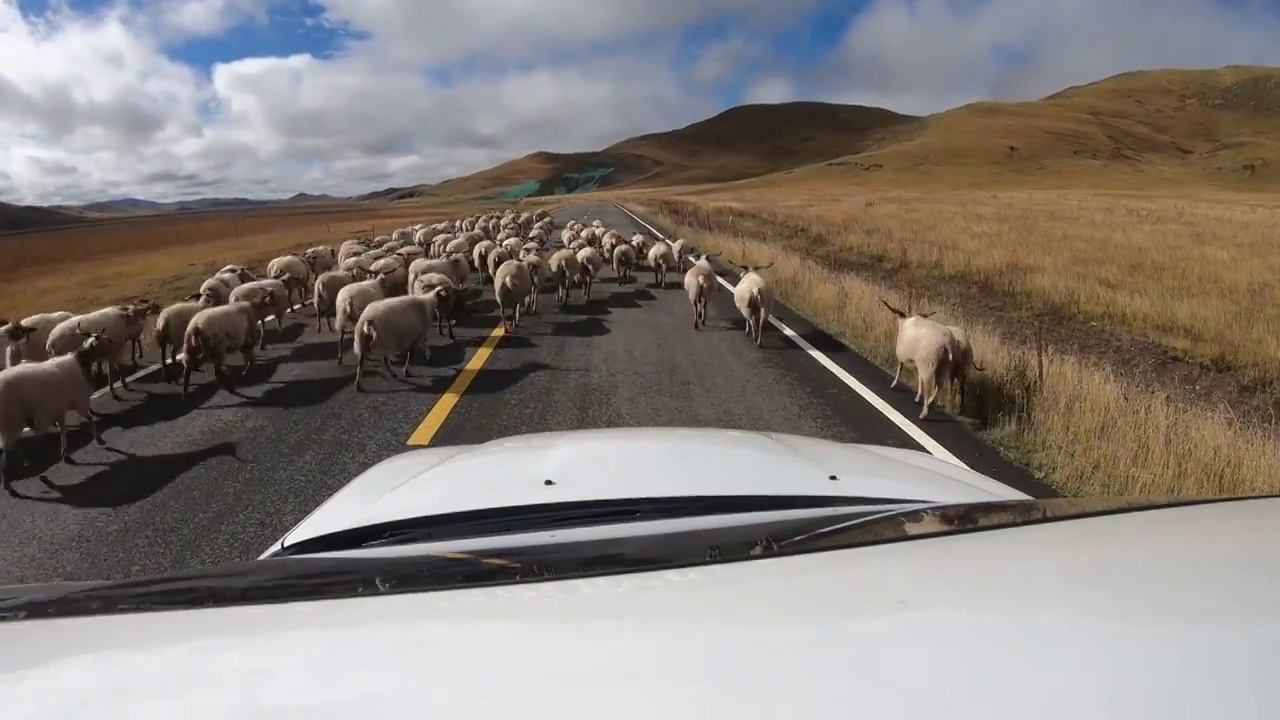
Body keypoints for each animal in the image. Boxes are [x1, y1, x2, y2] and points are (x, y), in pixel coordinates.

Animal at [0, 326, 115, 489]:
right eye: (107, 340)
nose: (114, 343)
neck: (80, 362)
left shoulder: (59, 408)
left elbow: (63, 430)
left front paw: (65, 454)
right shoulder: (79, 401)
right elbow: (90, 418)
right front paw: (99, 439)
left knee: (11, 448)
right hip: (12, 420)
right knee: (6, 450)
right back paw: (7, 482)